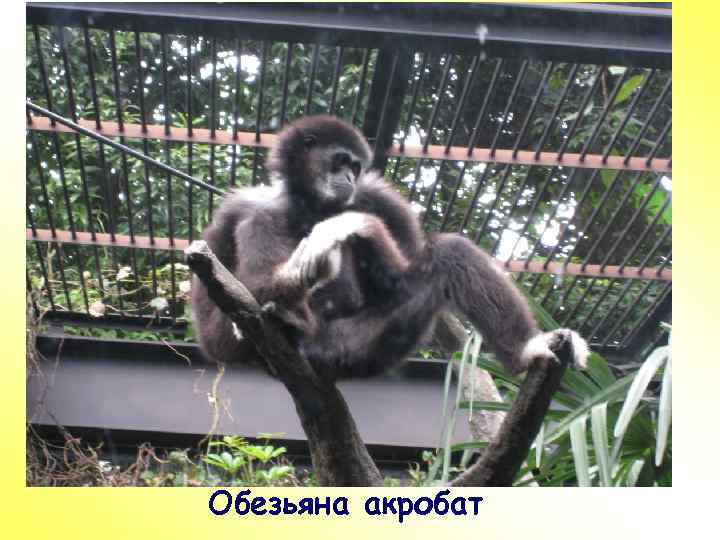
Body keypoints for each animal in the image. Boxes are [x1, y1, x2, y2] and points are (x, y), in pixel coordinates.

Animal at [192, 114, 589, 381]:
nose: (348, 177)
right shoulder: (247, 204)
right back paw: (291, 314)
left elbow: (398, 272)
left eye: (356, 167)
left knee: (450, 252)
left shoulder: (377, 196)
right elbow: (218, 325)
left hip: (364, 346)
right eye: (340, 161)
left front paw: (349, 226)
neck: (311, 206)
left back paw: (529, 350)